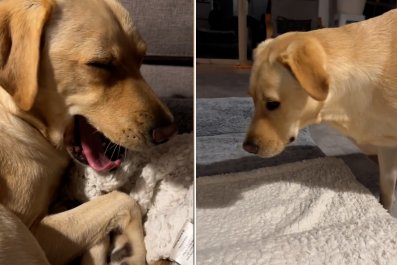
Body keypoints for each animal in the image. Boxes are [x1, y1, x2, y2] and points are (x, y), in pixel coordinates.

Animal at [0, 0, 176, 264]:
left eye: (142, 58)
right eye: (100, 65)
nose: (169, 131)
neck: (24, 120)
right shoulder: (36, 230)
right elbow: (125, 199)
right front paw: (132, 251)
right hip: (12, 227)